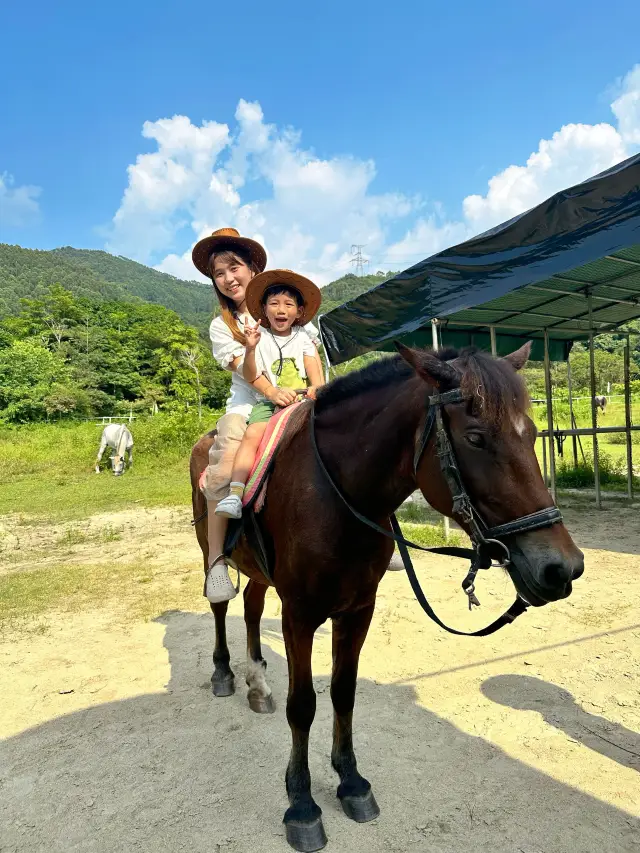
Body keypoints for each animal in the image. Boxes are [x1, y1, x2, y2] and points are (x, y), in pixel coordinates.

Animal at [189, 342, 584, 852]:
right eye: (476, 438)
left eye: (533, 434)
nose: (563, 567)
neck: (336, 495)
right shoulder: (300, 614)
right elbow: (303, 706)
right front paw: (302, 804)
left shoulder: (358, 610)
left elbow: (343, 693)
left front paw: (351, 782)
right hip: (211, 551)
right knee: (221, 605)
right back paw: (224, 672)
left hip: (261, 571)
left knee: (253, 607)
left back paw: (257, 683)